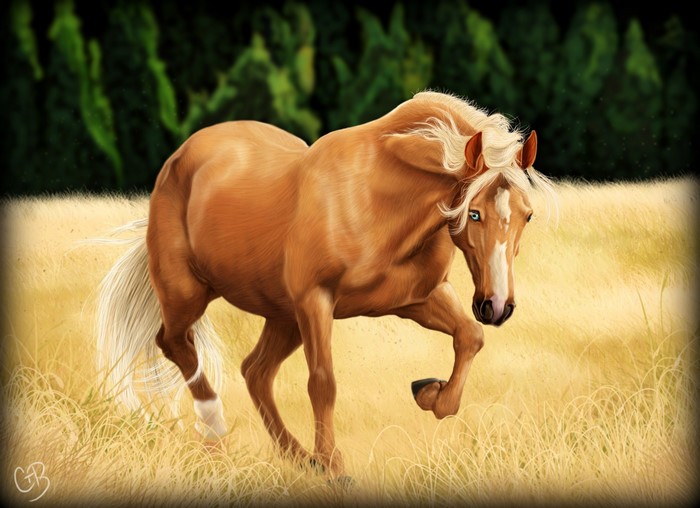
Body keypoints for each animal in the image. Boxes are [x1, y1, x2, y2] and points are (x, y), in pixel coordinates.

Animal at [96, 91, 554, 480]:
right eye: (473, 213)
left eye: (528, 214)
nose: (498, 306)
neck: (378, 201)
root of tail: (180, 156)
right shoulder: (316, 301)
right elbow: (323, 382)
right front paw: (334, 465)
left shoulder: (418, 298)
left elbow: (470, 336)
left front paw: (430, 393)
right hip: (190, 293)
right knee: (175, 343)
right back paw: (217, 433)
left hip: (282, 315)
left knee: (255, 371)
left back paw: (299, 457)